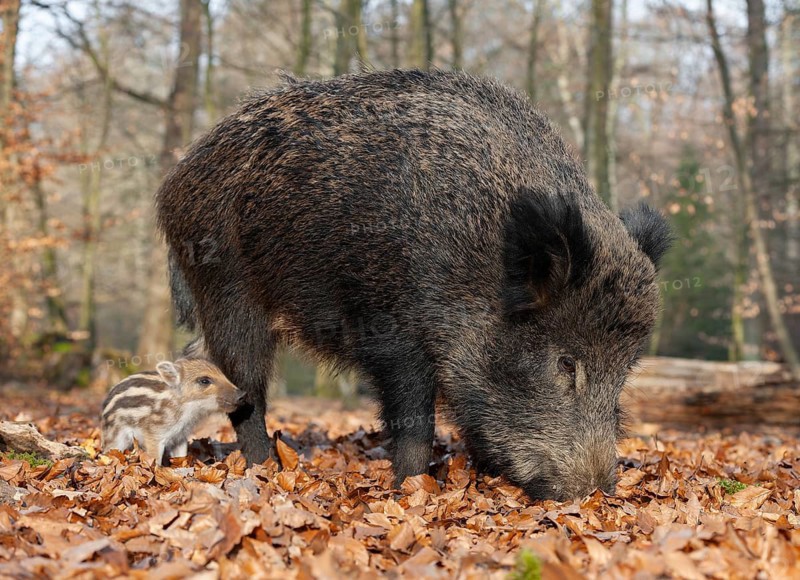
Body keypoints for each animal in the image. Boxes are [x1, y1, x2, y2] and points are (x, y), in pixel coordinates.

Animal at [100, 358, 244, 464]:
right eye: (204, 381)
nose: (242, 394)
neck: (186, 410)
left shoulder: (180, 436)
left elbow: (181, 456)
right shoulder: (154, 435)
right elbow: (155, 459)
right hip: (116, 436)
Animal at [156, 69, 671, 500]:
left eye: (626, 370)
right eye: (565, 362)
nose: (596, 491)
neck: (478, 266)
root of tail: (176, 181)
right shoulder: (393, 333)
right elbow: (414, 421)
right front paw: (410, 488)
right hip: (228, 295)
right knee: (245, 391)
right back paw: (266, 470)